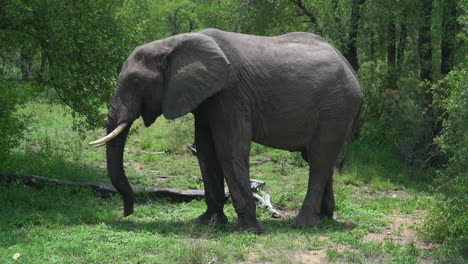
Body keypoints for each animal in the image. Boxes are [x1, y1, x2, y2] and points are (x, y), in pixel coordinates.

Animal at [89, 28, 364, 233]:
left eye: (136, 82)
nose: (128, 212)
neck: (173, 43)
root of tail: (355, 77)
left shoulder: (230, 93)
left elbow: (229, 149)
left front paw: (246, 230)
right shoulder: (204, 97)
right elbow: (205, 150)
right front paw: (207, 222)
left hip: (336, 109)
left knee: (319, 159)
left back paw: (303, 225)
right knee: (323, 161)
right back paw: (325, 218)